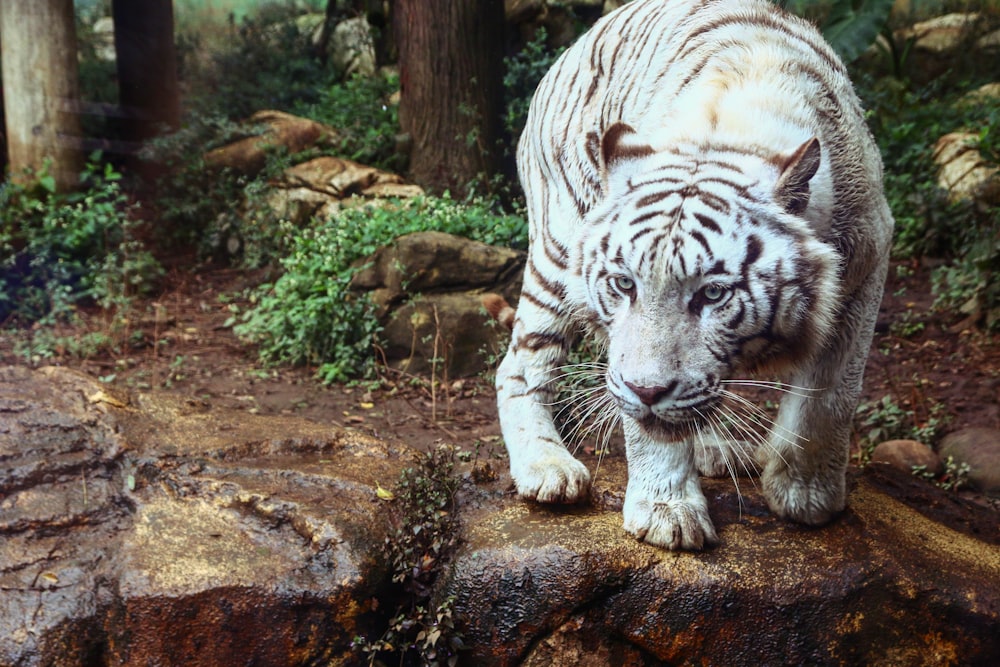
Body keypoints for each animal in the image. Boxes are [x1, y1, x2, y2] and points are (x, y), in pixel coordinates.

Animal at [496, 0, 896, 552]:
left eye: (713, 294)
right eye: (625, 284)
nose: (647, 392)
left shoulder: (866, 263)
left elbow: (830, 395)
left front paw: (805, 493)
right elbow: (645, 428)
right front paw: (667, 512)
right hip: (556, 251)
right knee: (518, 364)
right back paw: (546, 467)